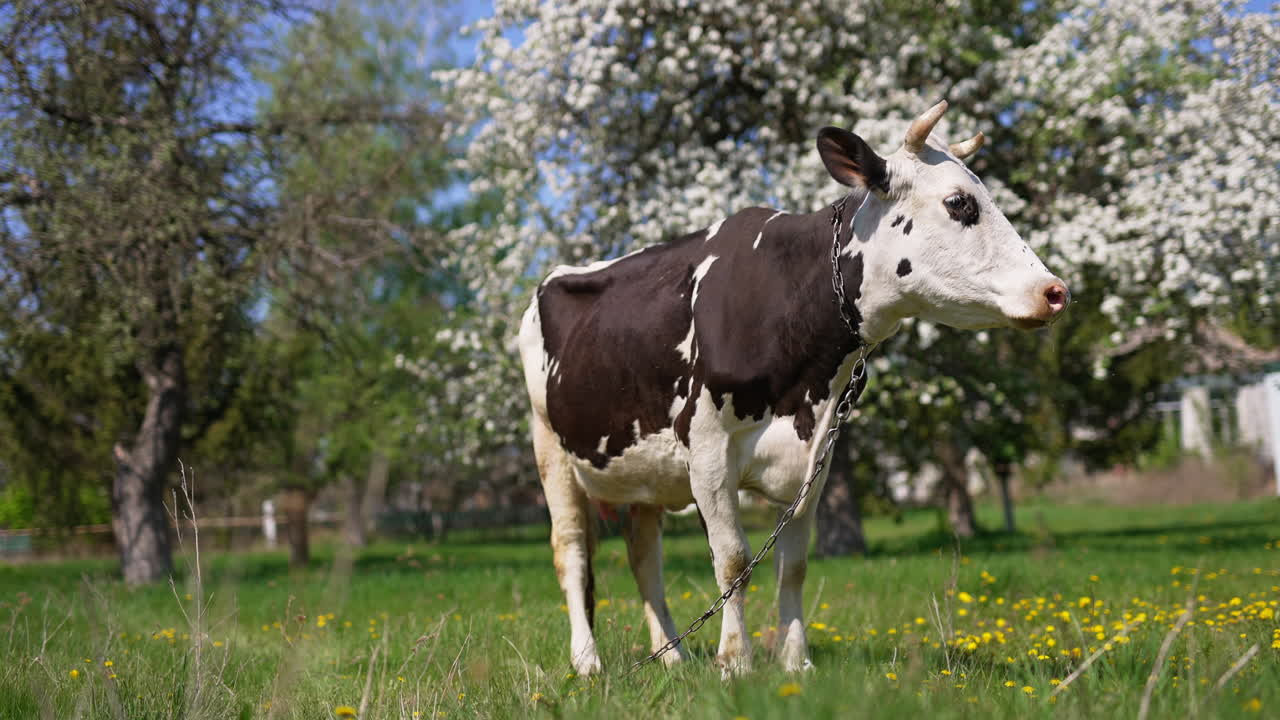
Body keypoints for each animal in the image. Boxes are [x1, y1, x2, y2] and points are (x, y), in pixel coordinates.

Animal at [517, 100, 1070, 676]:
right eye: (959, 203)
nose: (1056, 291)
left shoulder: (815, 458)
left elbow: (795, 564)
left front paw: (795, 661)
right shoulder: (708, 450)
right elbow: (733, 559)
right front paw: (735, 661)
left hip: (641, 469)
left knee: (643, 554)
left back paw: (671, 657)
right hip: (550, 447)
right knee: (571, 550)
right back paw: (587, 661)